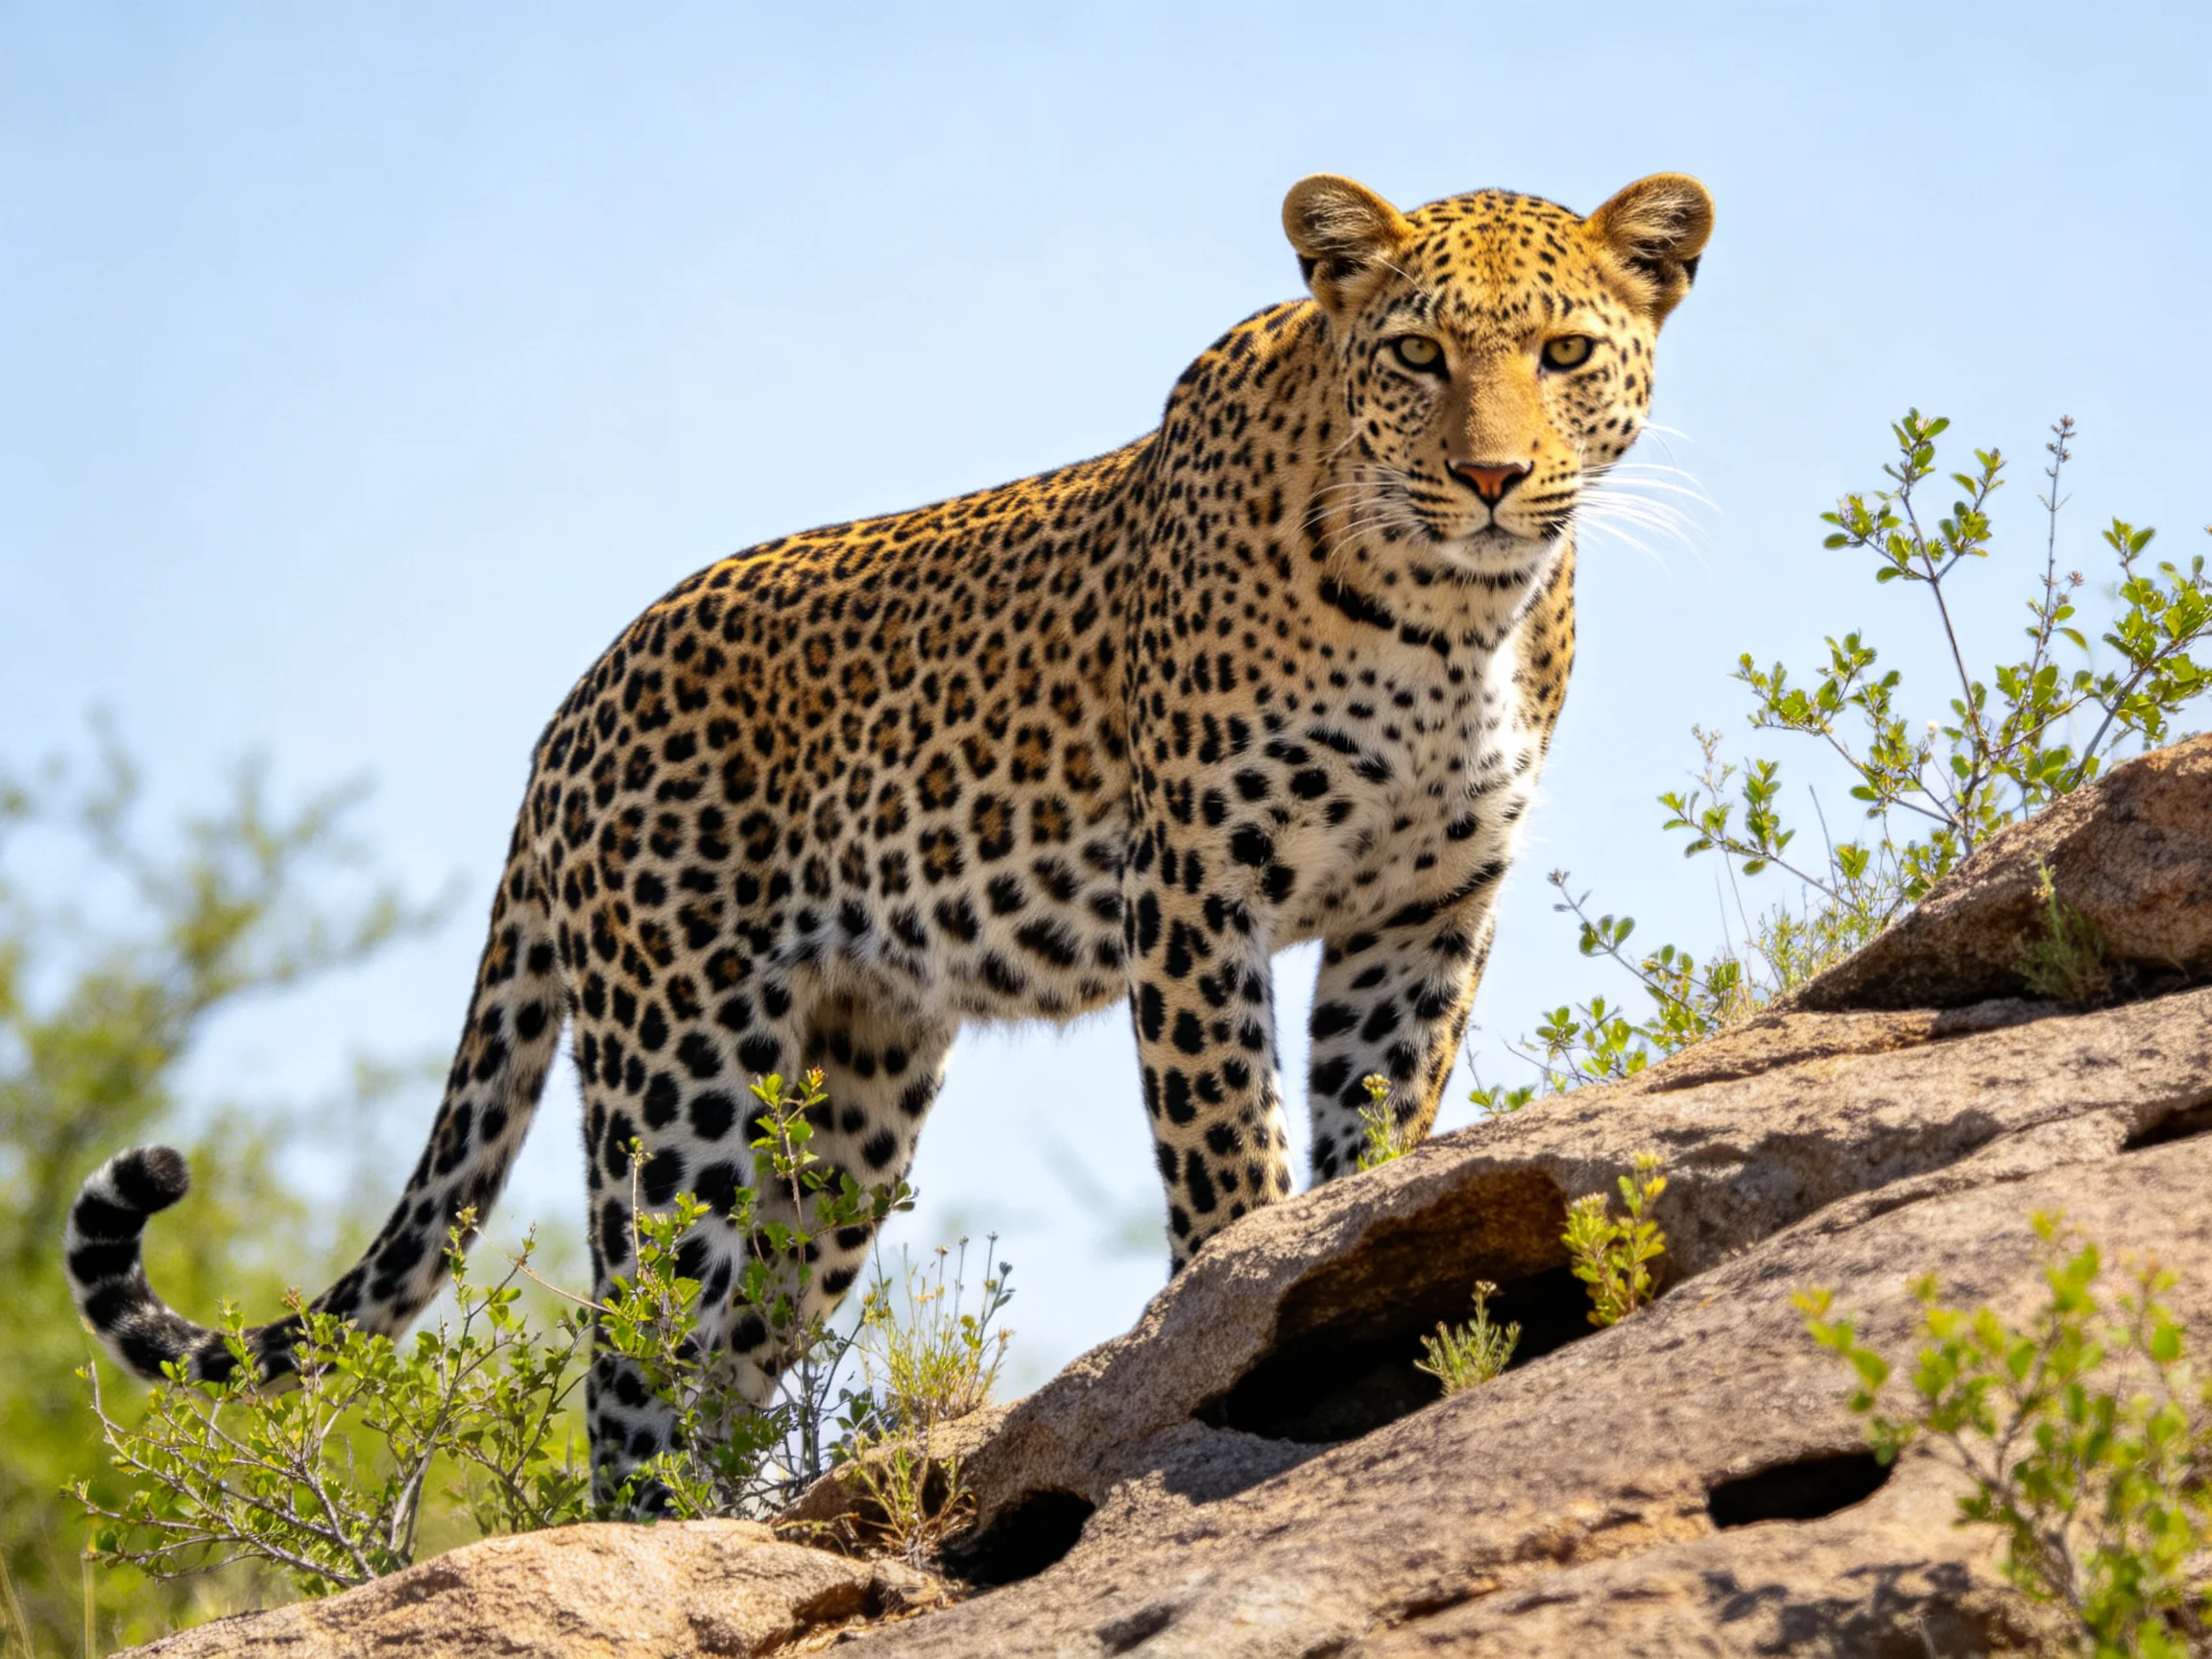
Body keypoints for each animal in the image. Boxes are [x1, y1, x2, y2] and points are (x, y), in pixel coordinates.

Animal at [66, 169, 1713, 1493]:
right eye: (1418, 354)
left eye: (1564, 354)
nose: (1492, 479)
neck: (1450, 619)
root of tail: (567, 716)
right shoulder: (1196, 889)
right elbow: (1225, 1149)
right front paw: (1228, 1329)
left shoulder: (1421, 909)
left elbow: (1372, 1133)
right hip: (676, 1080)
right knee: (631, 1357)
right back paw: (644, 1541)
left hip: (848, 1108)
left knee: (737, 1353)